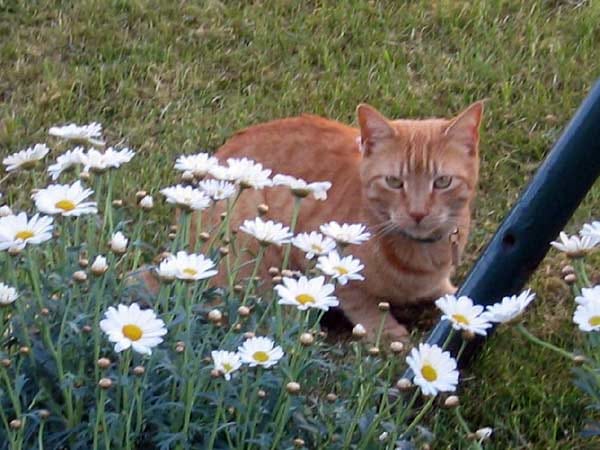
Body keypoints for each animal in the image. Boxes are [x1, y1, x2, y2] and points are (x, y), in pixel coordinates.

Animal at [197, 103, 482, 342]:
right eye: (394, 181)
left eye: (443, 181)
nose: (418, 212)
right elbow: (360, 302)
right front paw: (387, 335)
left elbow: (454, 296)